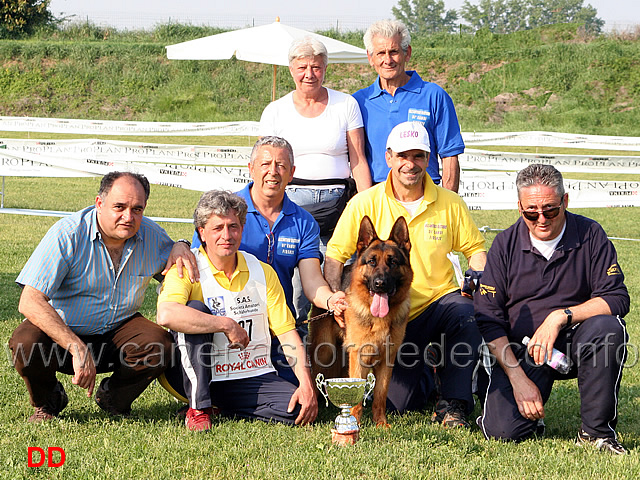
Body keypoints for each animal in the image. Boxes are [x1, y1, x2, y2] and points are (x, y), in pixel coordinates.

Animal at [308, 216, 410, 426]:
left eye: (393, 262)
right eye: (371, 262)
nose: (380, 284)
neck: (378, 318)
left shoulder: (387, 360)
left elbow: (380, 395)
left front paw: (381, 424)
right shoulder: (359, 356)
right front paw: (354, 421)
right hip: (325, 353)